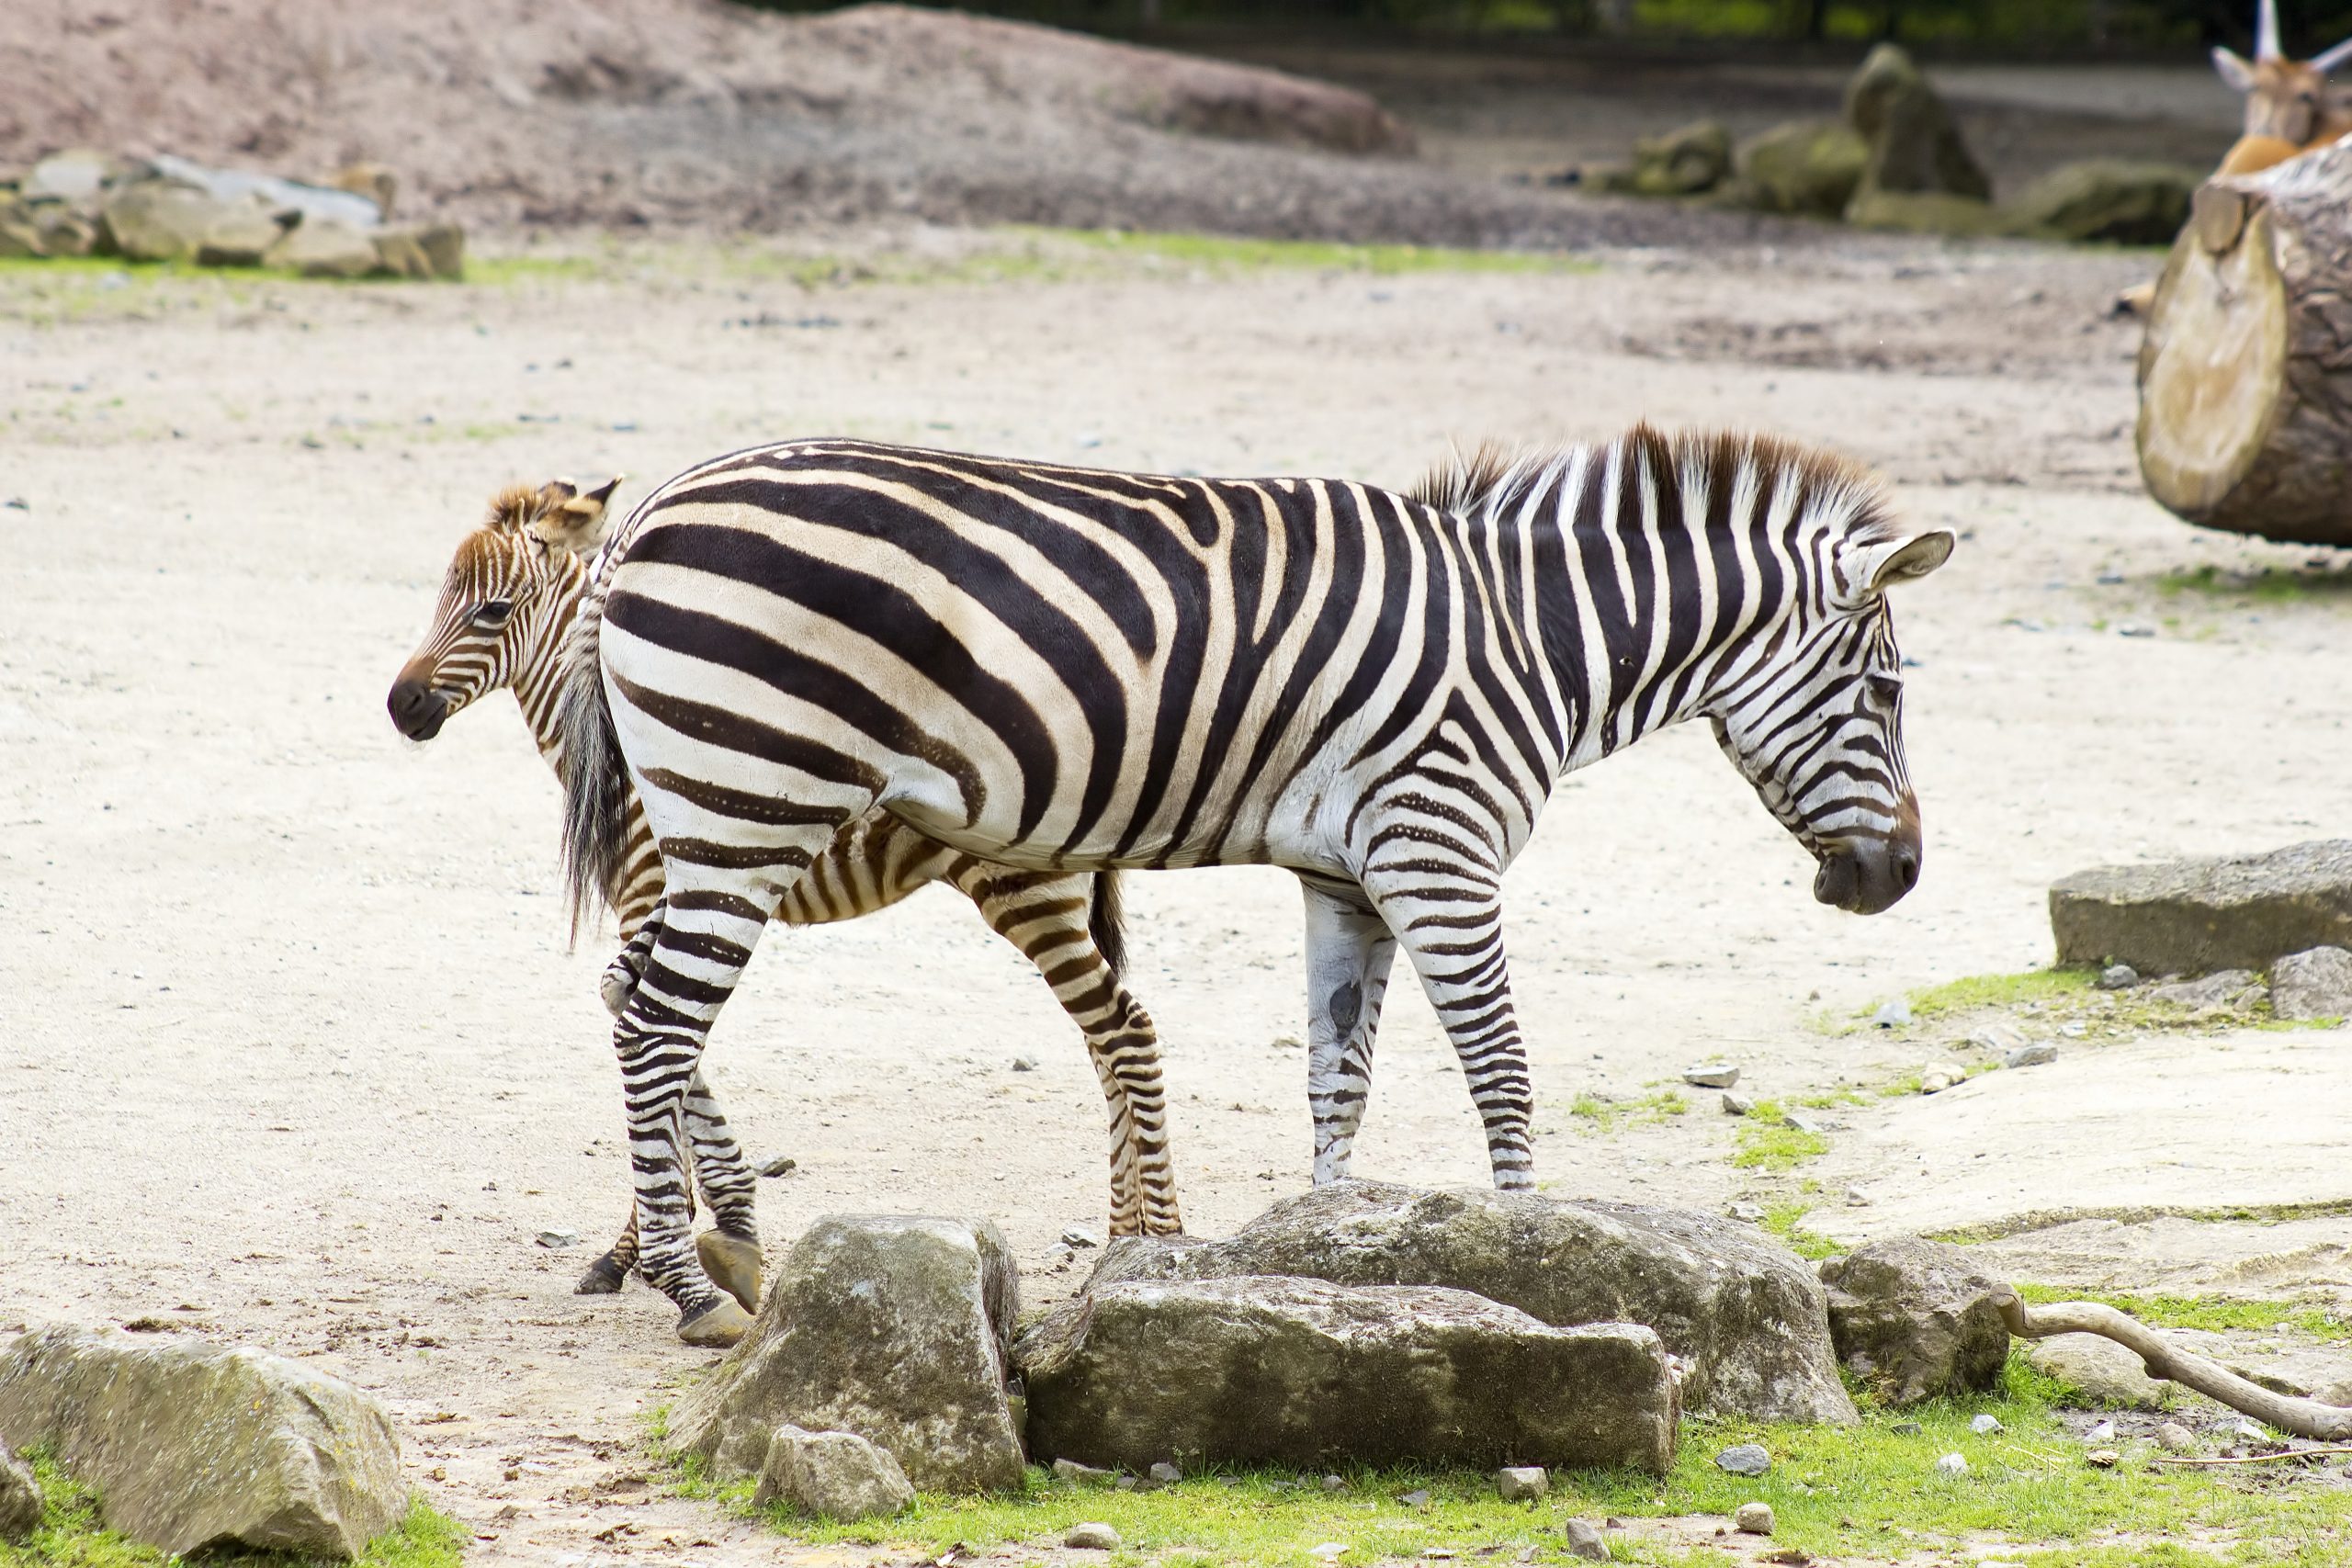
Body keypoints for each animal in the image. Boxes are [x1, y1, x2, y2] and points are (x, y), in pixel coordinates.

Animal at [386, 478, 1182, 1338]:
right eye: (440, 595)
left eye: (492, 610)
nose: (402, 705)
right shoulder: (674, 905)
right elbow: (643, 1026)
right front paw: (697, 1230)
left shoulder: (654, 893)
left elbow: (652, 1037)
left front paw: (658, 1246)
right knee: (1106, 1042)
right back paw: (1123, 1244)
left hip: (1027, 897)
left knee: (1125, 1032)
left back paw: (1154, 1246)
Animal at [559, 427, 1953, 1343]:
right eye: (1887, 691)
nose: (1898, 876)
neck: (1532, 638)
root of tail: (651, 512)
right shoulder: (1439, 847)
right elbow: (1500, 1065)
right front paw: (1535, 1258)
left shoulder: (1347, 875)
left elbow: (1339, 1080)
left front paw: (1330, 1259)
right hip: (752, 793)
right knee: (657, 1018)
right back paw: (689, 1285)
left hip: (708, 811)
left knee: (635, 996)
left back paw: (711, 1248)